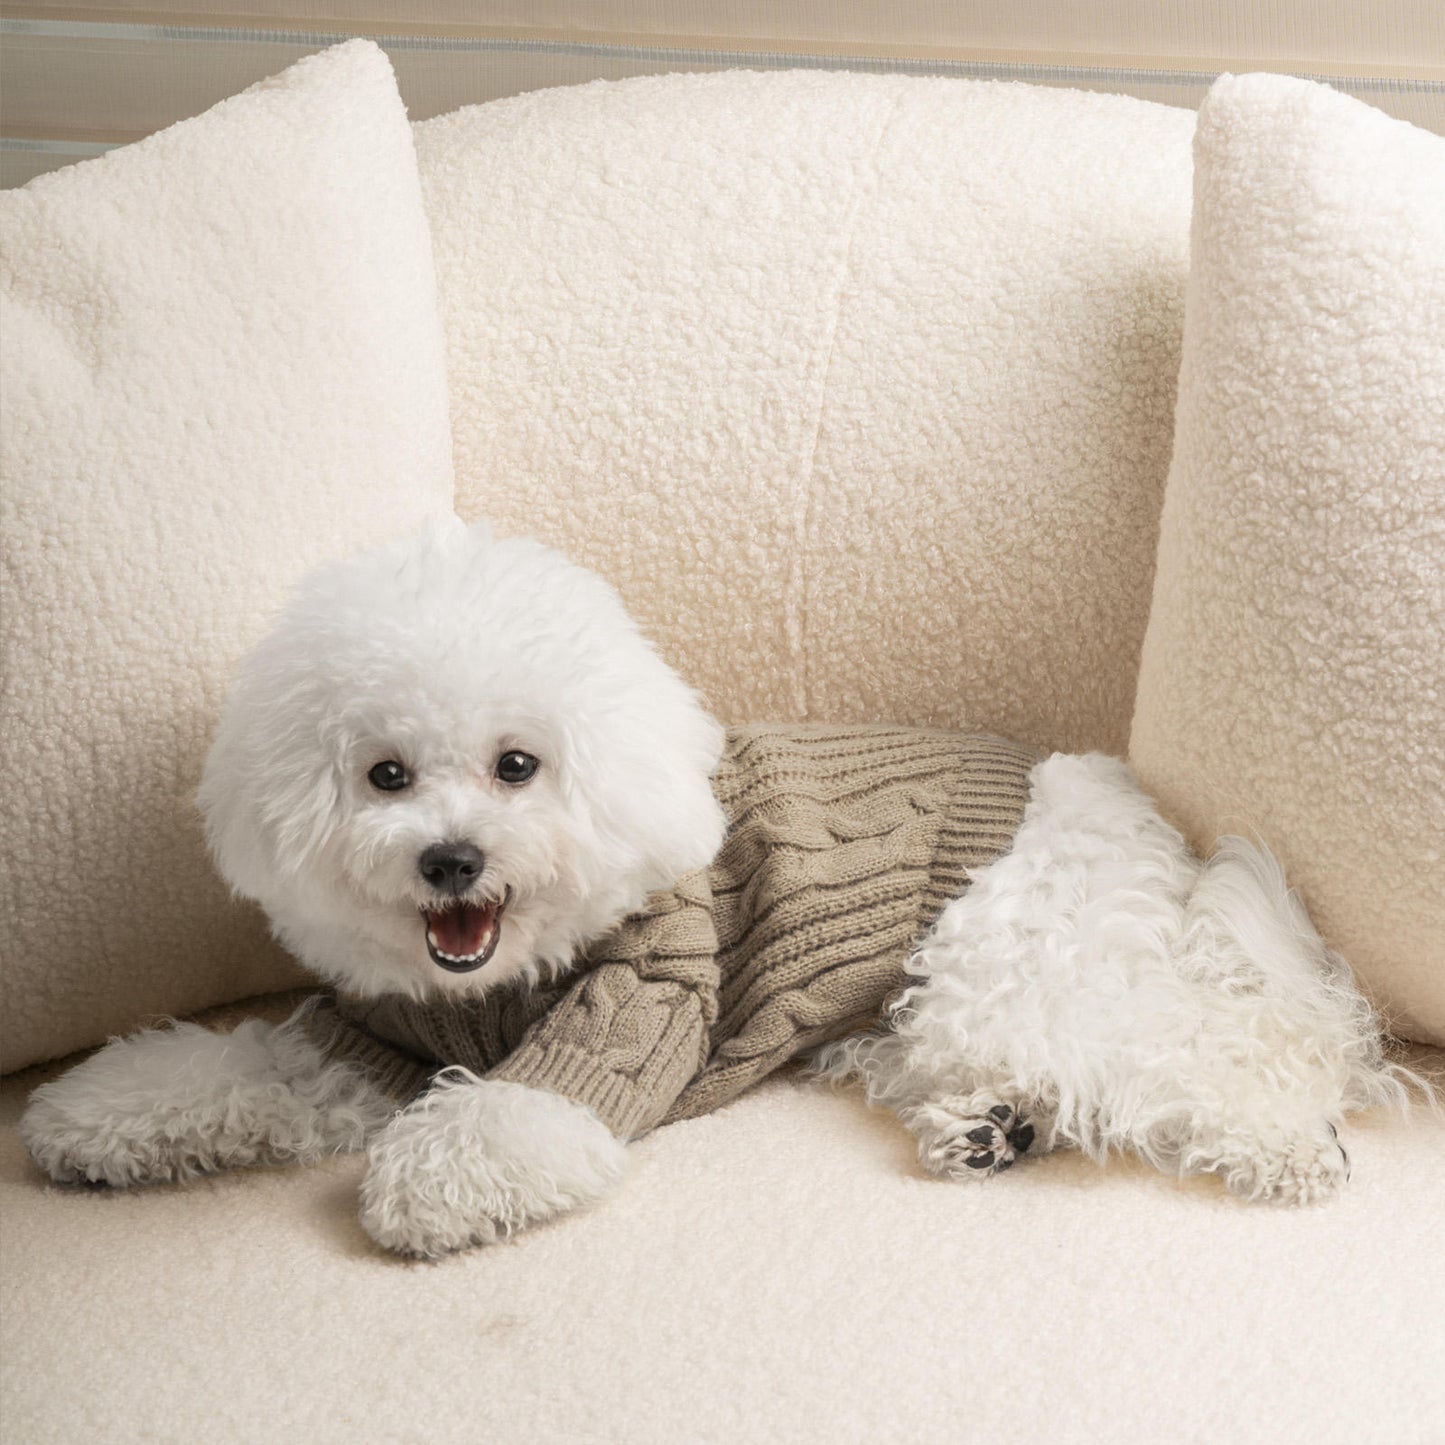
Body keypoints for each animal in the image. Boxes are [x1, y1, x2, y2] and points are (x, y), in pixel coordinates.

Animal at [16, 520, 1404, 1254]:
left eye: (517, 764)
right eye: (385, 773)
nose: (450, 858)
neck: (497, 977)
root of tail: (1124, 813)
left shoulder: (634, 1001)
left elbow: (504, 1120)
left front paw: (422, 1184)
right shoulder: (362, 1045)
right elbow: (227, 1063)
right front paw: (97, 1114)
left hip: (992, 960)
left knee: (1194, 1053)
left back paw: (1287, 1143)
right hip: (916, 1012)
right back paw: (988, 1125)